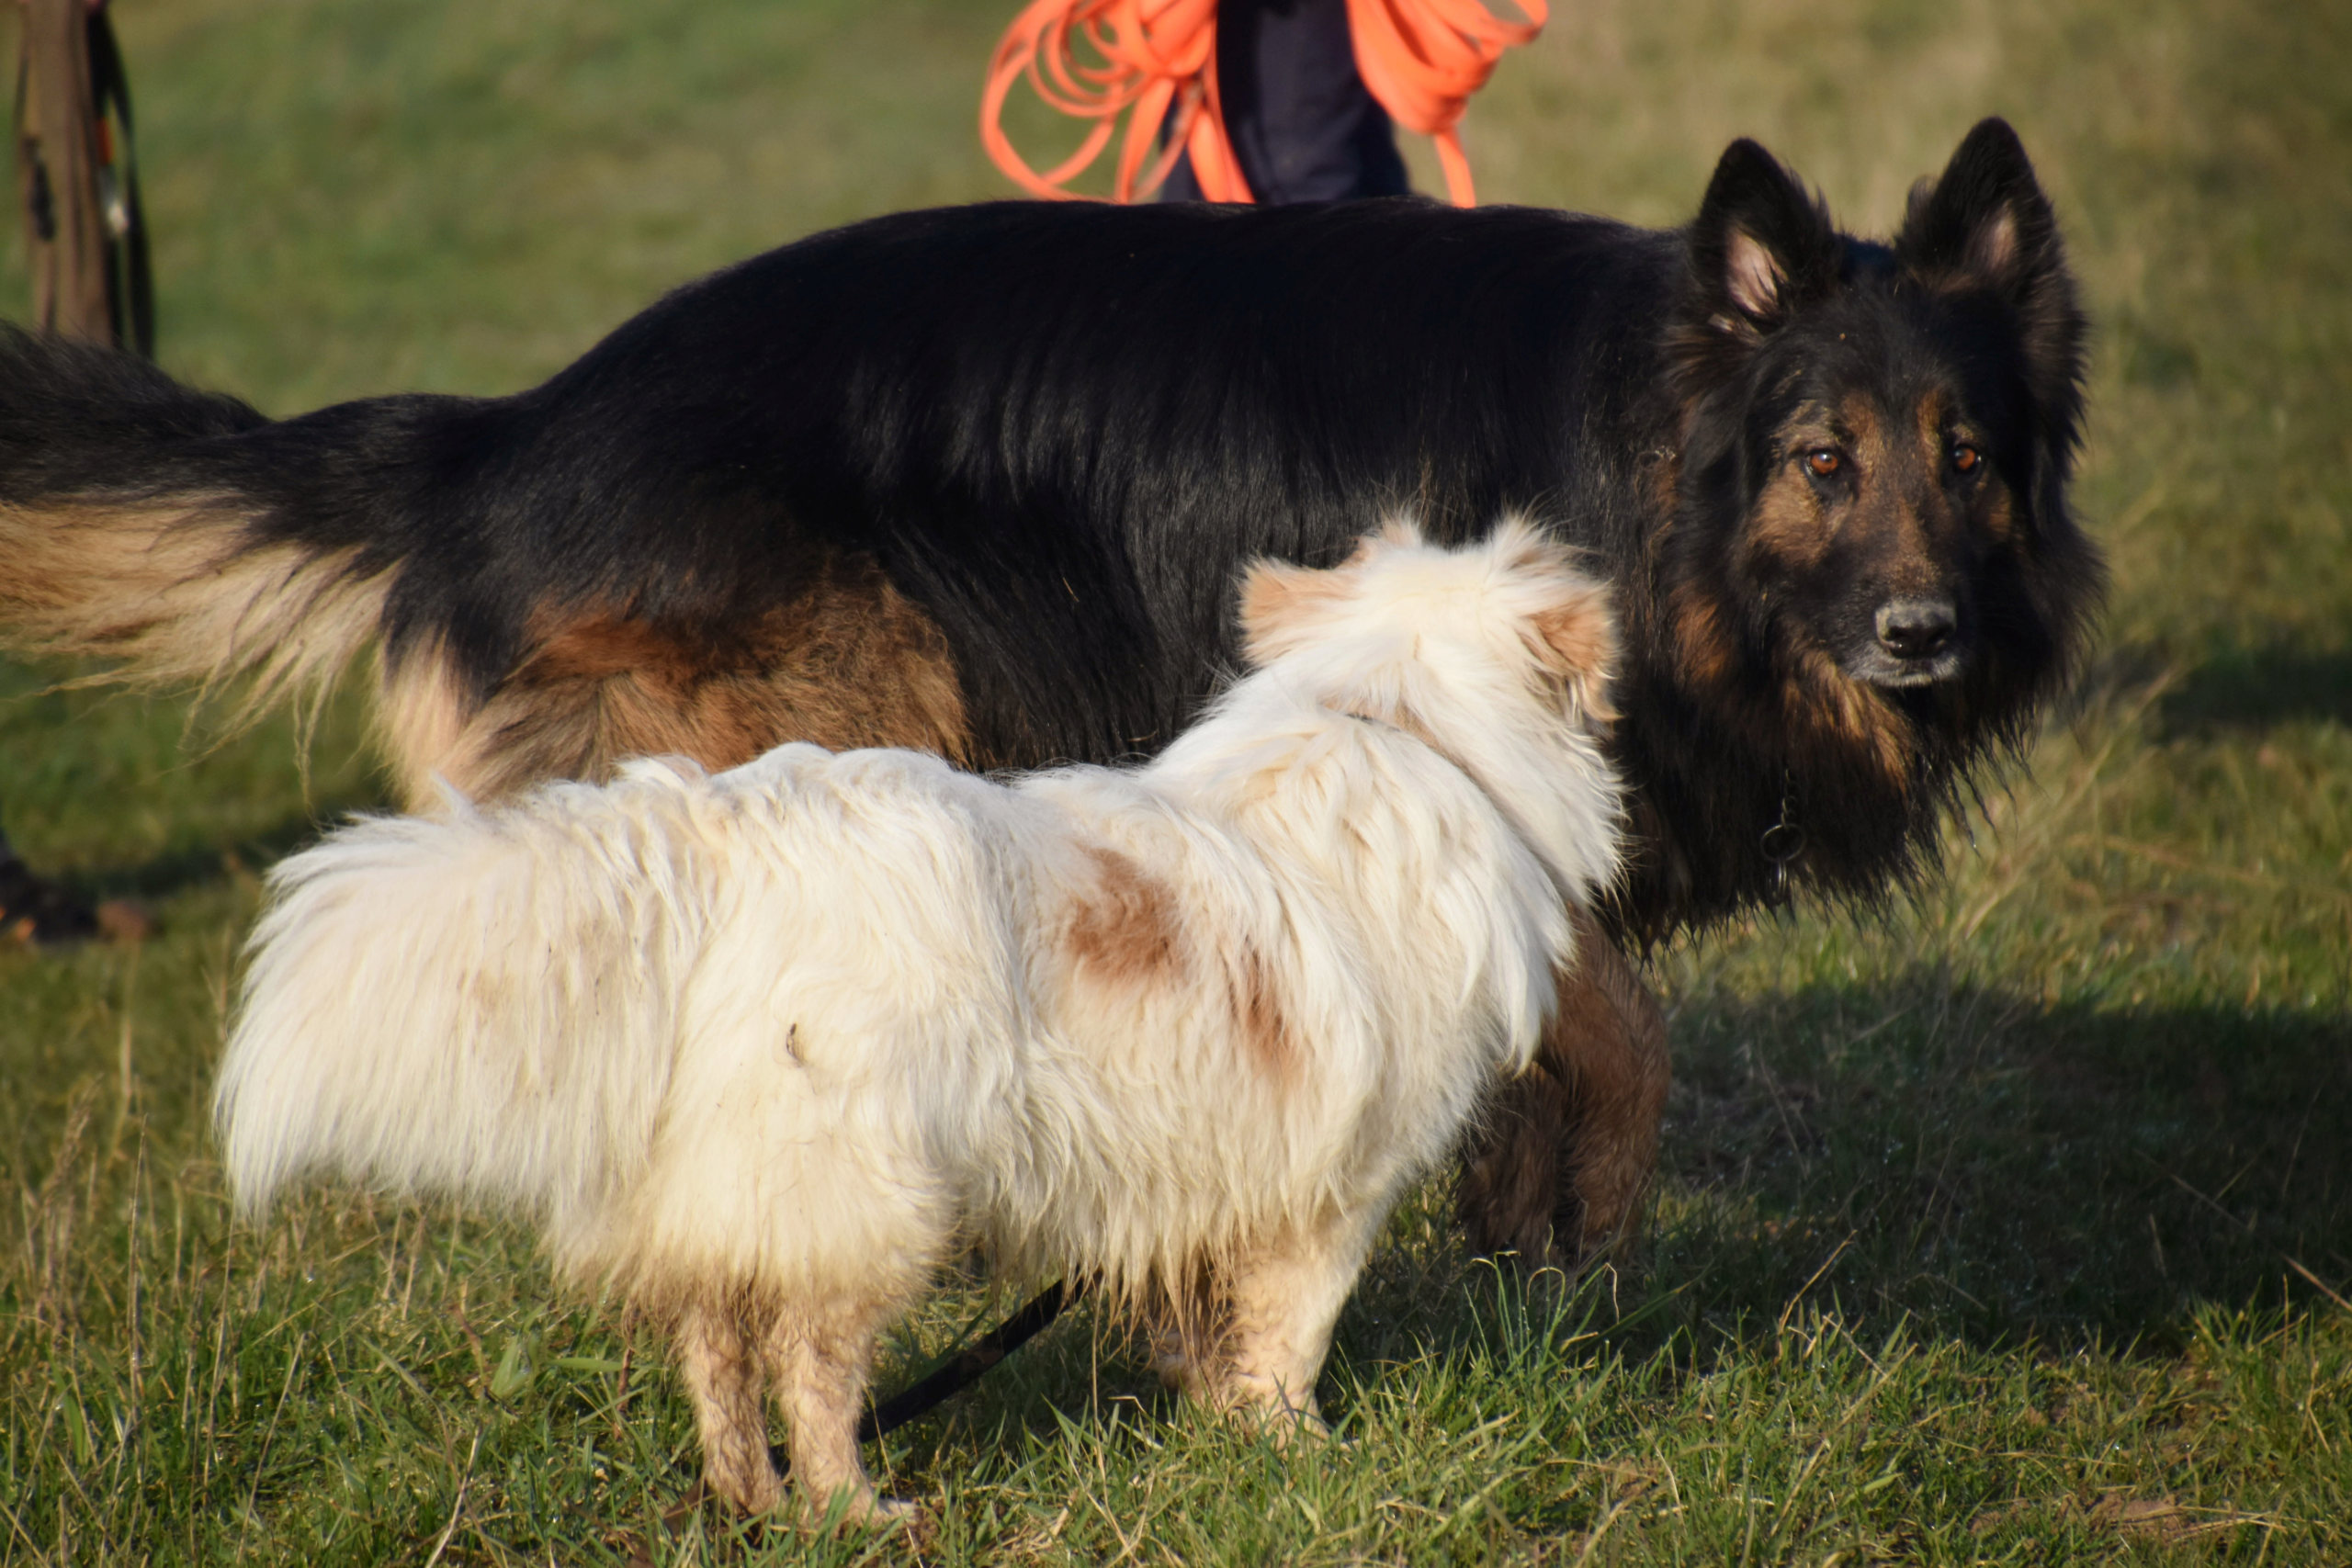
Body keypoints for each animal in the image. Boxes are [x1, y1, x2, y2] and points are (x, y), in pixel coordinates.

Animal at [0, 122, 2098, 1279]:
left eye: (1965, 457)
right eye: (1820, 458)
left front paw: (1527, 1259)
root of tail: (502, 435)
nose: (1921, 634)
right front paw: (1582, 1247)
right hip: (858, 709)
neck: (1645, 469)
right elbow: (1628, 1040)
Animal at [216, 524, 1618, 1523]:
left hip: (731, 1192)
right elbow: (1291, 1338)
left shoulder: (1200, 1182)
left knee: (717, 1355)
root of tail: (716, 838)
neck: (1392, 716)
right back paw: (853, 1508)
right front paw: (1295, 1452)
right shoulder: (1335, 1193)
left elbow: (1205, 1321)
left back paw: (754, 1498)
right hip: (871, 1202)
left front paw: (1209, 1408)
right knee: (809, 1366)